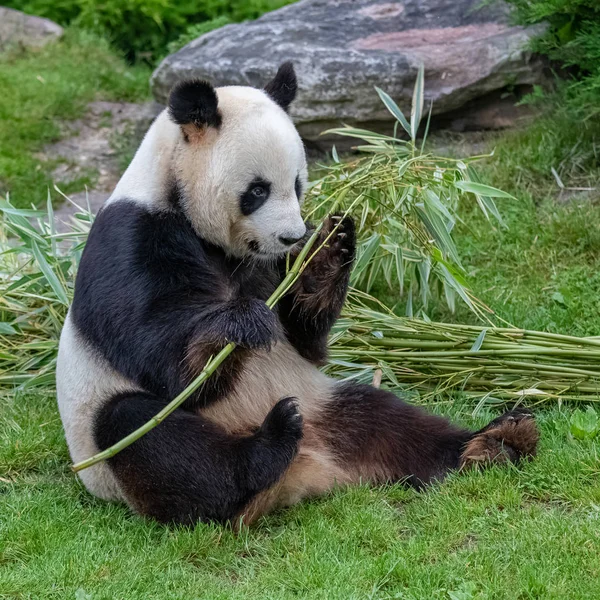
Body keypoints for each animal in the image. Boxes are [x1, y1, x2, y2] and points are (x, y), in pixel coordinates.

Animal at [56, 63, 540, 528]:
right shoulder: (132, 236)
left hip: (323, 401)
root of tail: (305, 472)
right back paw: (266, 449)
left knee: (387, 420)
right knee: (147, 438)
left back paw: (494, 442)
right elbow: (163, 360)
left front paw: (328, 250)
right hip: (110, 446)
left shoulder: (269, 268)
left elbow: (304, 336)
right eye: (256, 190)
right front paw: (239, 325)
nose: (292, 236)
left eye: (297, 184)